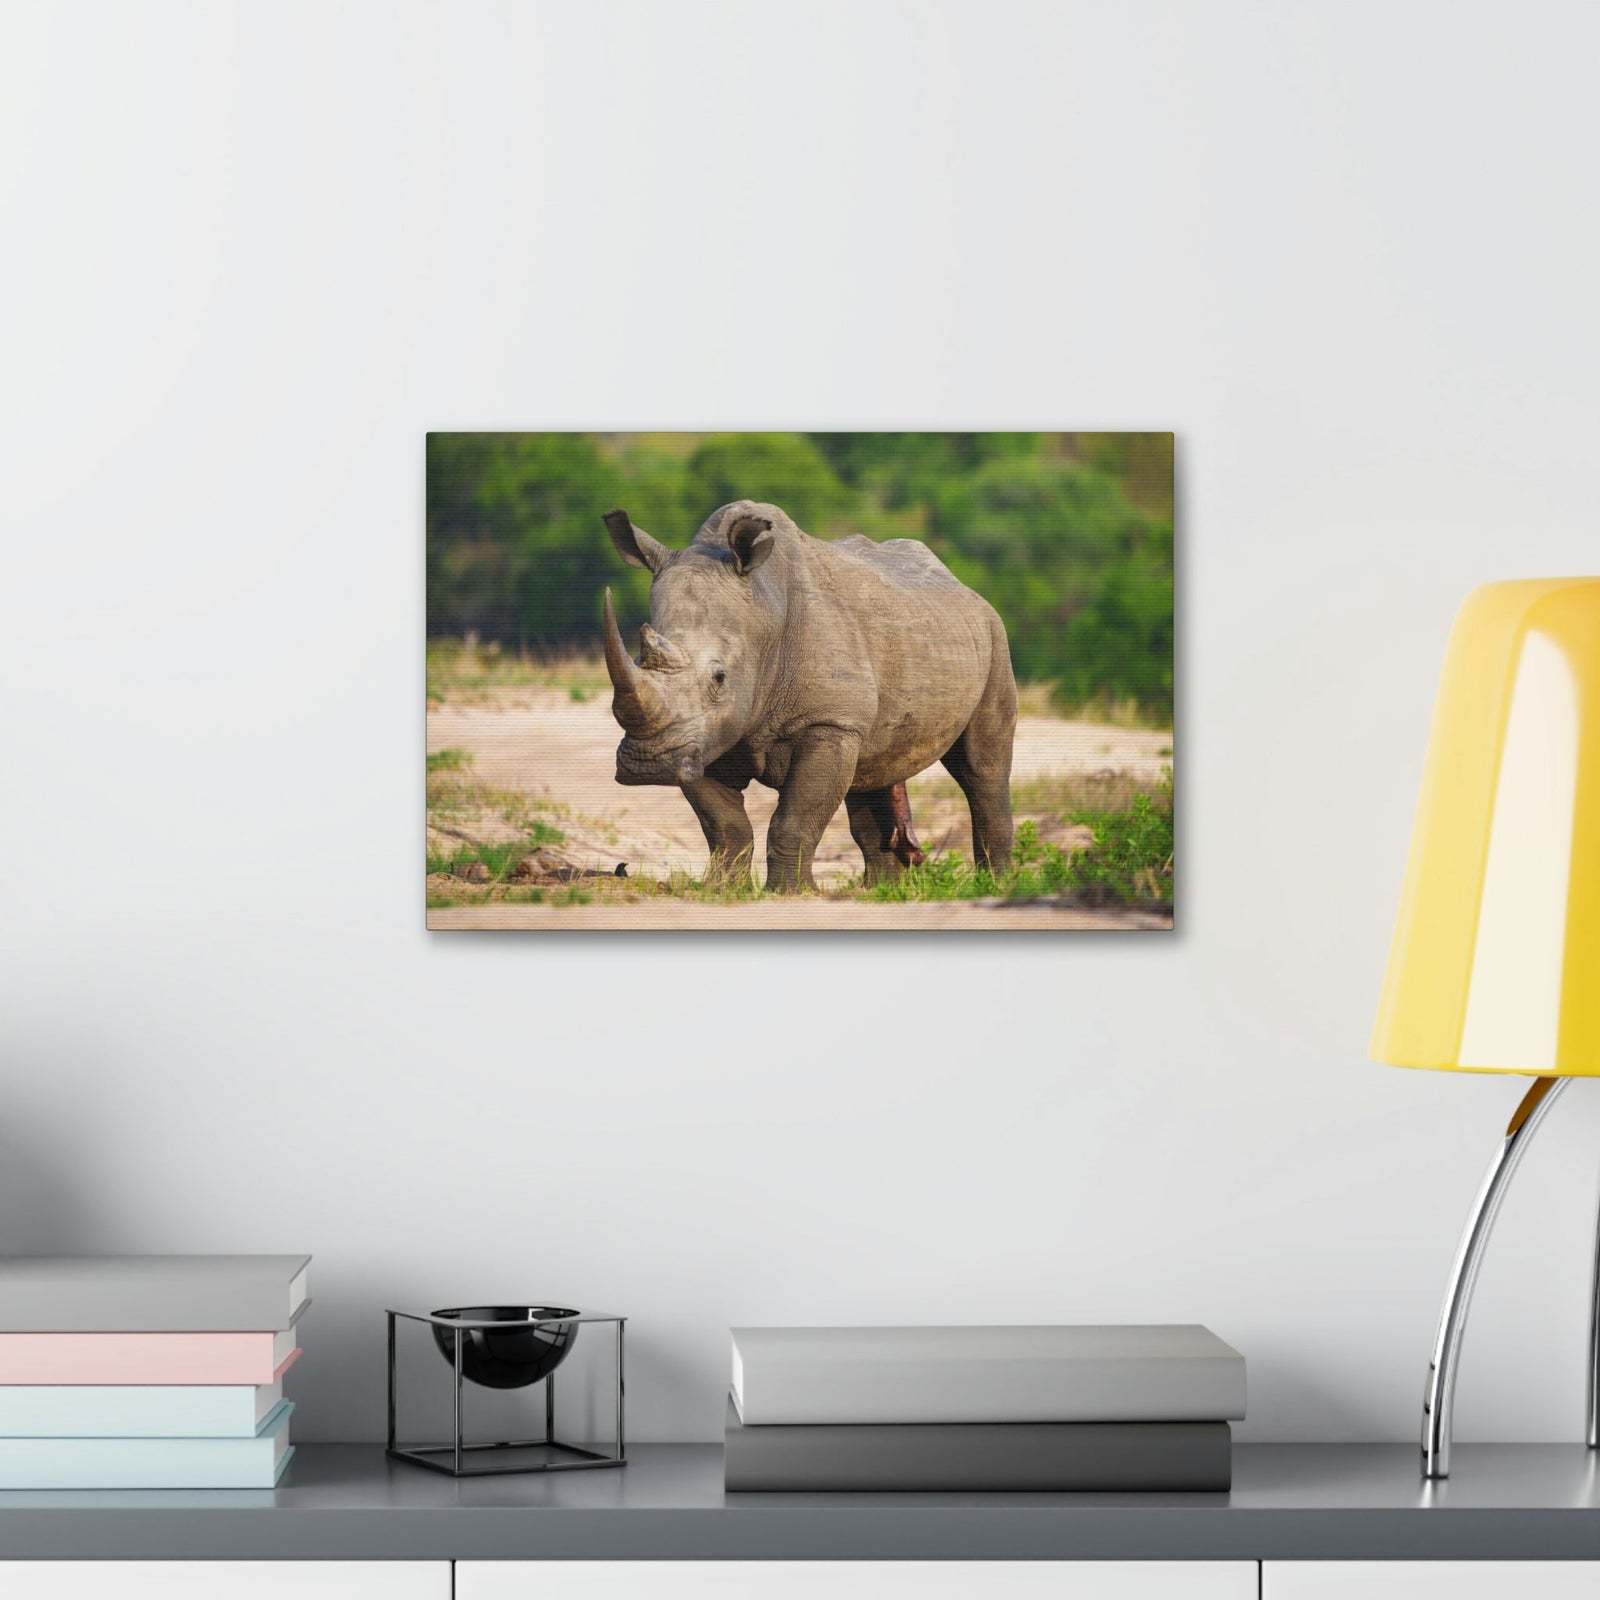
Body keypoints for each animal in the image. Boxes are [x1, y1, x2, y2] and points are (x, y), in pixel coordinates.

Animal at [602, 499, 1016, 892]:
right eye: (637, 661)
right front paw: (721, 890)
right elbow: (725, 826)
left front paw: (790, 893)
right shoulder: (698, 737)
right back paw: (879, 890)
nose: (648, 763)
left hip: (993, 634)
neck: (763, 614)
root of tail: (959, 583)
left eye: (719, 678)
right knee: (872, 769)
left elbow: (795, 818)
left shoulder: (828, 722)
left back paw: (994, 884)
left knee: (982, 768)